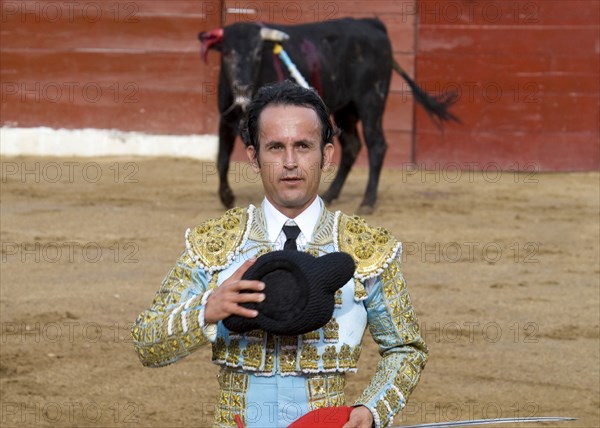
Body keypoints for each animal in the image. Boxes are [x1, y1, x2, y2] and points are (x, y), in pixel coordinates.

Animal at [199, 17, 458, 213]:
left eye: (256, 53)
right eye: (227, 53)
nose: (242, 86)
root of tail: (371, 24)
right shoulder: (226, 119)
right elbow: (222, 159)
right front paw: (226, 197)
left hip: (371, 101)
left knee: (376, 144)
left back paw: (367, 202)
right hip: (346, 109)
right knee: (352, 145)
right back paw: (330, 193)